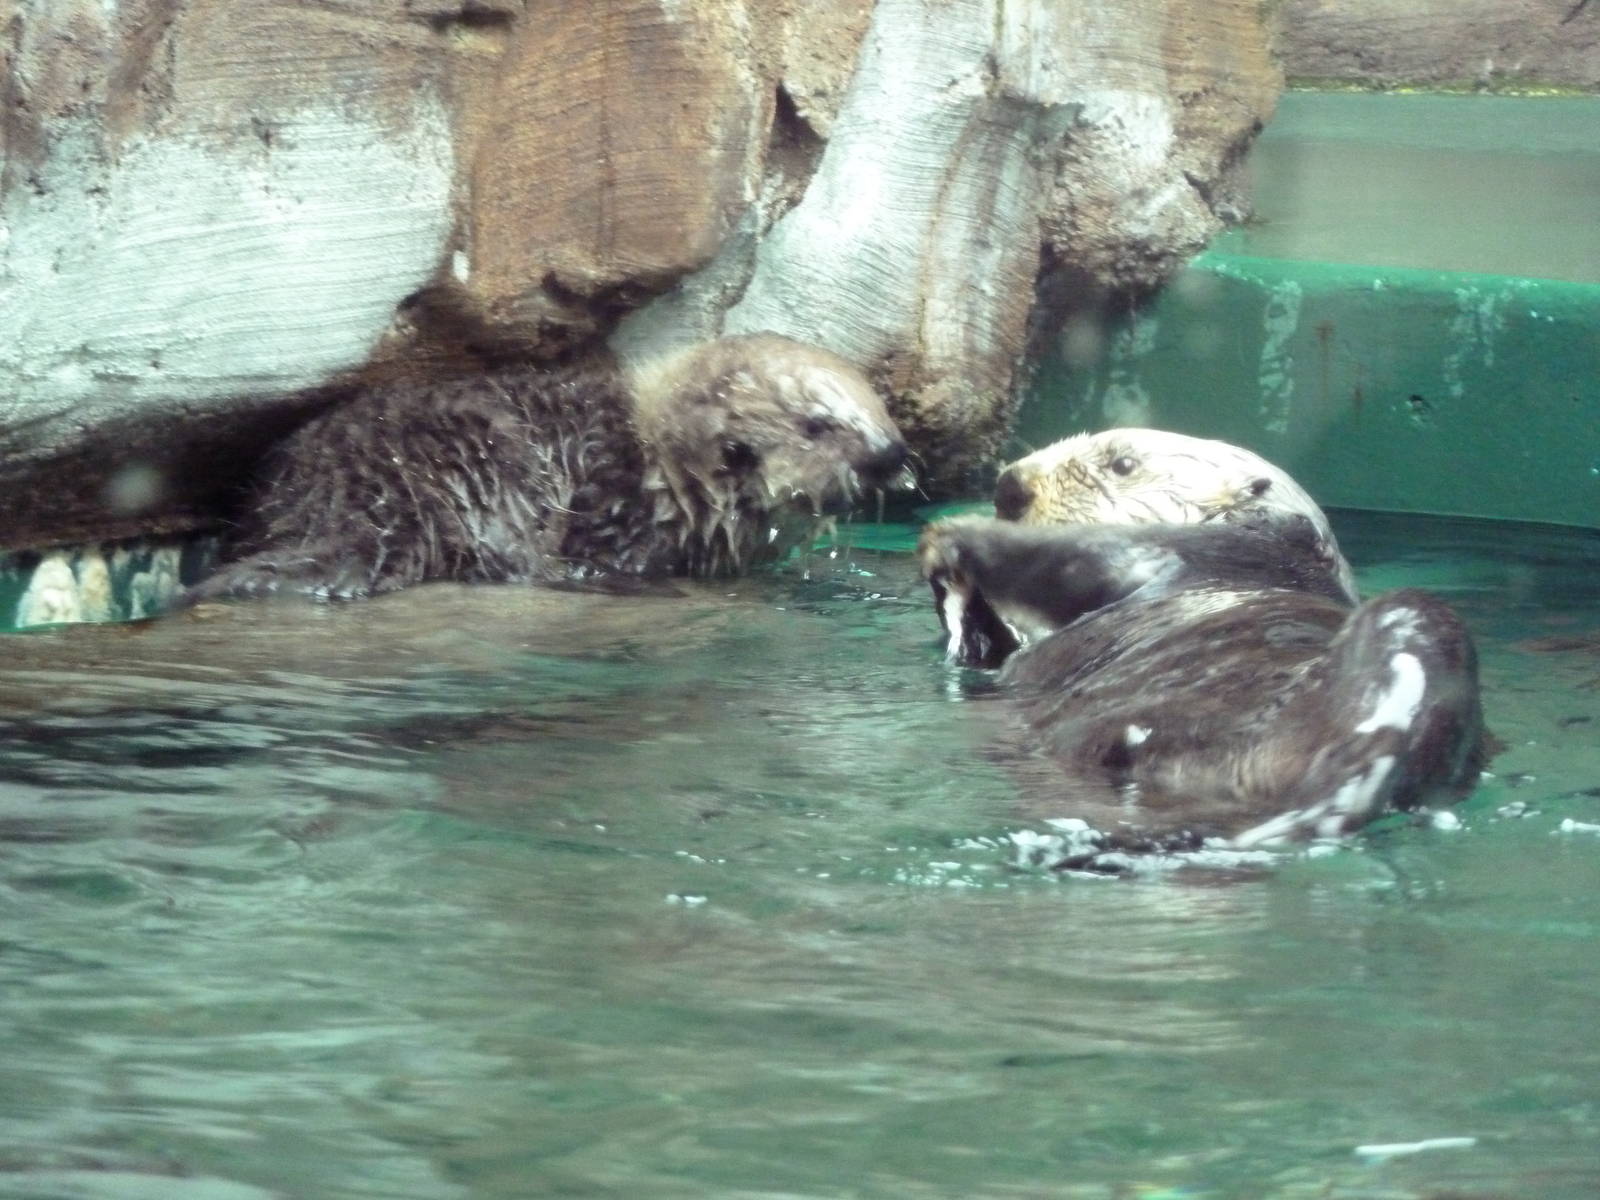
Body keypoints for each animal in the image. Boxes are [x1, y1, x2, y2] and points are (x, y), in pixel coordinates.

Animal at [921, 439, 1485, 873]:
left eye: (1123, 464)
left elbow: (1078, 557)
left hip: (1406, 629)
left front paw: (951, 535)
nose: (1009, 488)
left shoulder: (1208, 546)